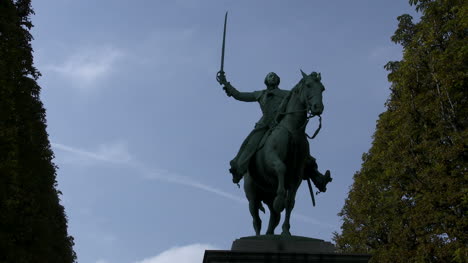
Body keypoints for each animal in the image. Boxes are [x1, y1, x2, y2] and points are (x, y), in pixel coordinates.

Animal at [245, 70, 326, 237]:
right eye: (308, 85)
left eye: (322, 88)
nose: (318, 107)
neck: (293, 130)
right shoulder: (272, 158)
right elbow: (281, 168)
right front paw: (280, 199)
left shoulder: (297, 176)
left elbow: (290, 203)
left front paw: (286, 231)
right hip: (252, 196)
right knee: (256, 219)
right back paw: (258, 235)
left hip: (267, 195)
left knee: (273, 217)